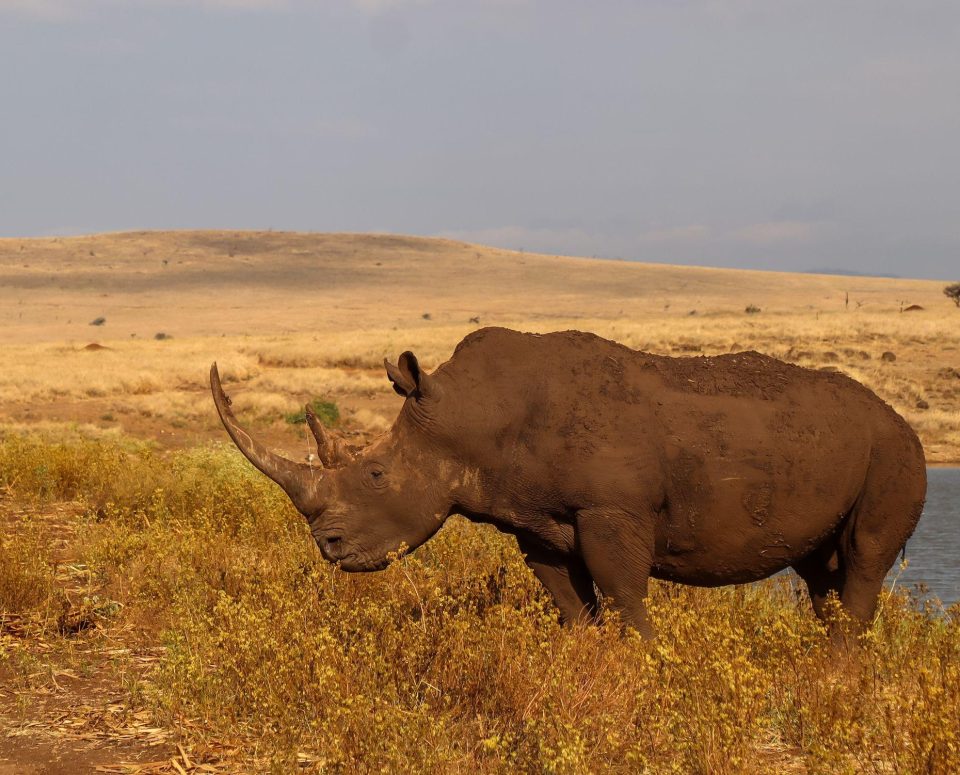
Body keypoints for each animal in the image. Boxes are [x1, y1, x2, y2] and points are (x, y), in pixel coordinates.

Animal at [211, 327, 926, 637]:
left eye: (377, 474)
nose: (327, 546)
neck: (469, 415)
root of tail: (903, 419)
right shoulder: (536, 521)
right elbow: (570, 601)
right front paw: (587, 665)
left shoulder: (611, 509)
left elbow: (623, 594)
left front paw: (641, 667)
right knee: (821, 571)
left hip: (895, 453)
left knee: (862, 560)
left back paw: (840, 675)